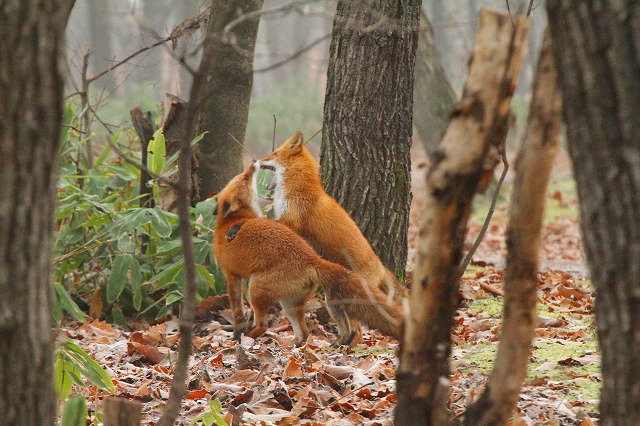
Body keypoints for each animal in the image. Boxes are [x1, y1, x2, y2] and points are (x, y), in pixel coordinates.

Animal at [212, 163, 402, 346]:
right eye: (245, 178)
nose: (253, 163)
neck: (228, 222)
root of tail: (313, 258)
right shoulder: (239, 277)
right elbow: (247, 312)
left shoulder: (231, 275)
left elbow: (238, 313)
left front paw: (236, 335)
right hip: (288, 302)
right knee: (303, 332)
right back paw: (293, 347)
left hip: (257, 288)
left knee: (263, 325)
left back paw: (247, 340)